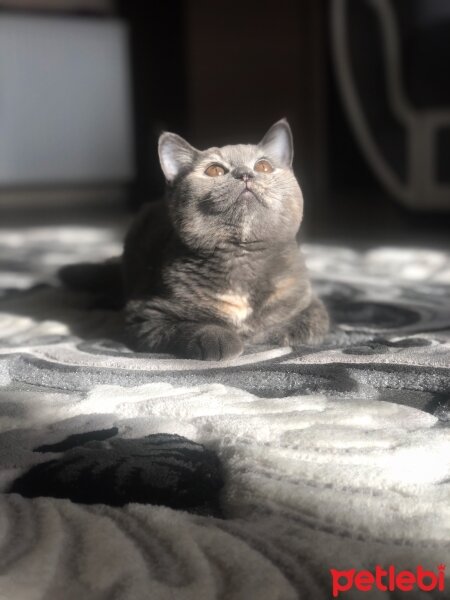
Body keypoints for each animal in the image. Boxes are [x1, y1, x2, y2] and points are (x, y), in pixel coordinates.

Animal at [59, 119, 328, 358]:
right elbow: (186, 326)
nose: (245, 174)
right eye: (215, 170)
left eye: (263, 166)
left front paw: (261, 333)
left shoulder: (308, 301)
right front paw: (223, 339)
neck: (242, 257)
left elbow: (303, 324)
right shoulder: (146, 313)